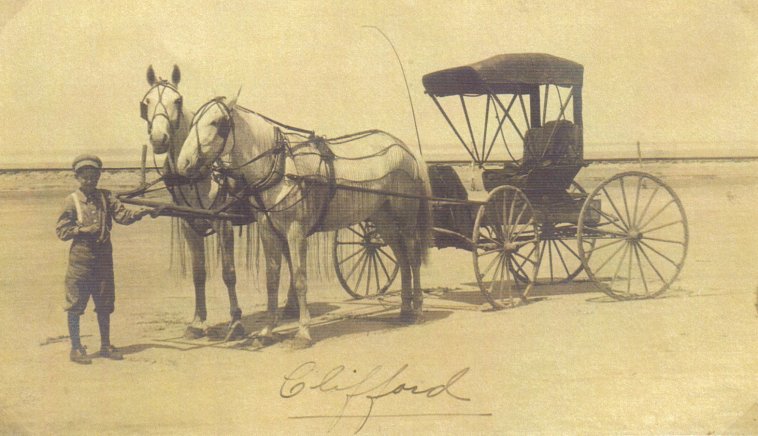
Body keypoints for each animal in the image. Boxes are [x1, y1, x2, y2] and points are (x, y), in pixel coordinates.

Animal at [174, 96, 434, 348]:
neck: (281, 168)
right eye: (193, 121)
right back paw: (404, 310)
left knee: (412, 257)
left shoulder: (295, 231)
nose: (183, 163)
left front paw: (303, 332)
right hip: (383, 220)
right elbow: (272, 279)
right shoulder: (268, 230)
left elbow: (299, 279)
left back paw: (418, 309)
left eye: (216, 122)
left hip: (405, 220)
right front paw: (267, 331)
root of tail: (406, 149)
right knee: (401, 258)